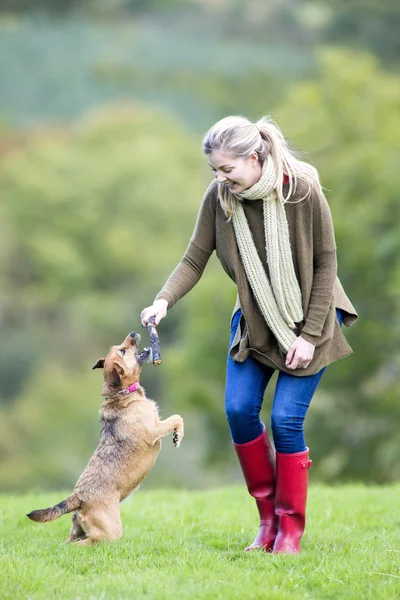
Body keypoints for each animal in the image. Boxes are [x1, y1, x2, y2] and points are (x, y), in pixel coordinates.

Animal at [27, 330, 184, 548]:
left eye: (118, 348)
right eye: (123, 351)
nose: (133, 332)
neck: (122, 394)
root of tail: (78, 497)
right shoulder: (154, 429)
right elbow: (176, 417)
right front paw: (178, 435)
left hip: (76, 528)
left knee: (71, 541)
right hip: (109, 531)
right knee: (86, 544)